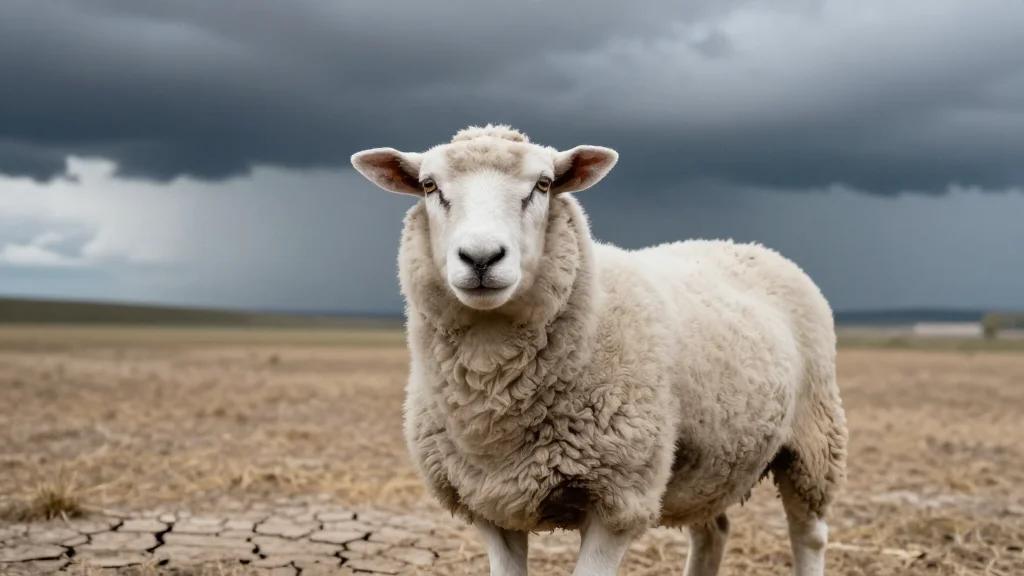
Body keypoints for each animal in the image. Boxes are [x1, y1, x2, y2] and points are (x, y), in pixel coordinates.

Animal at [351, 125, 847, 576]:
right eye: (429, 186)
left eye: (543, 184)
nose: (481, 258)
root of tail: (744, 244)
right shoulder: (489, 503)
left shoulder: (619, 500)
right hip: (710, 459)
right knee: (713, 531)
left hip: (814, 441)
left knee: (809, 535)